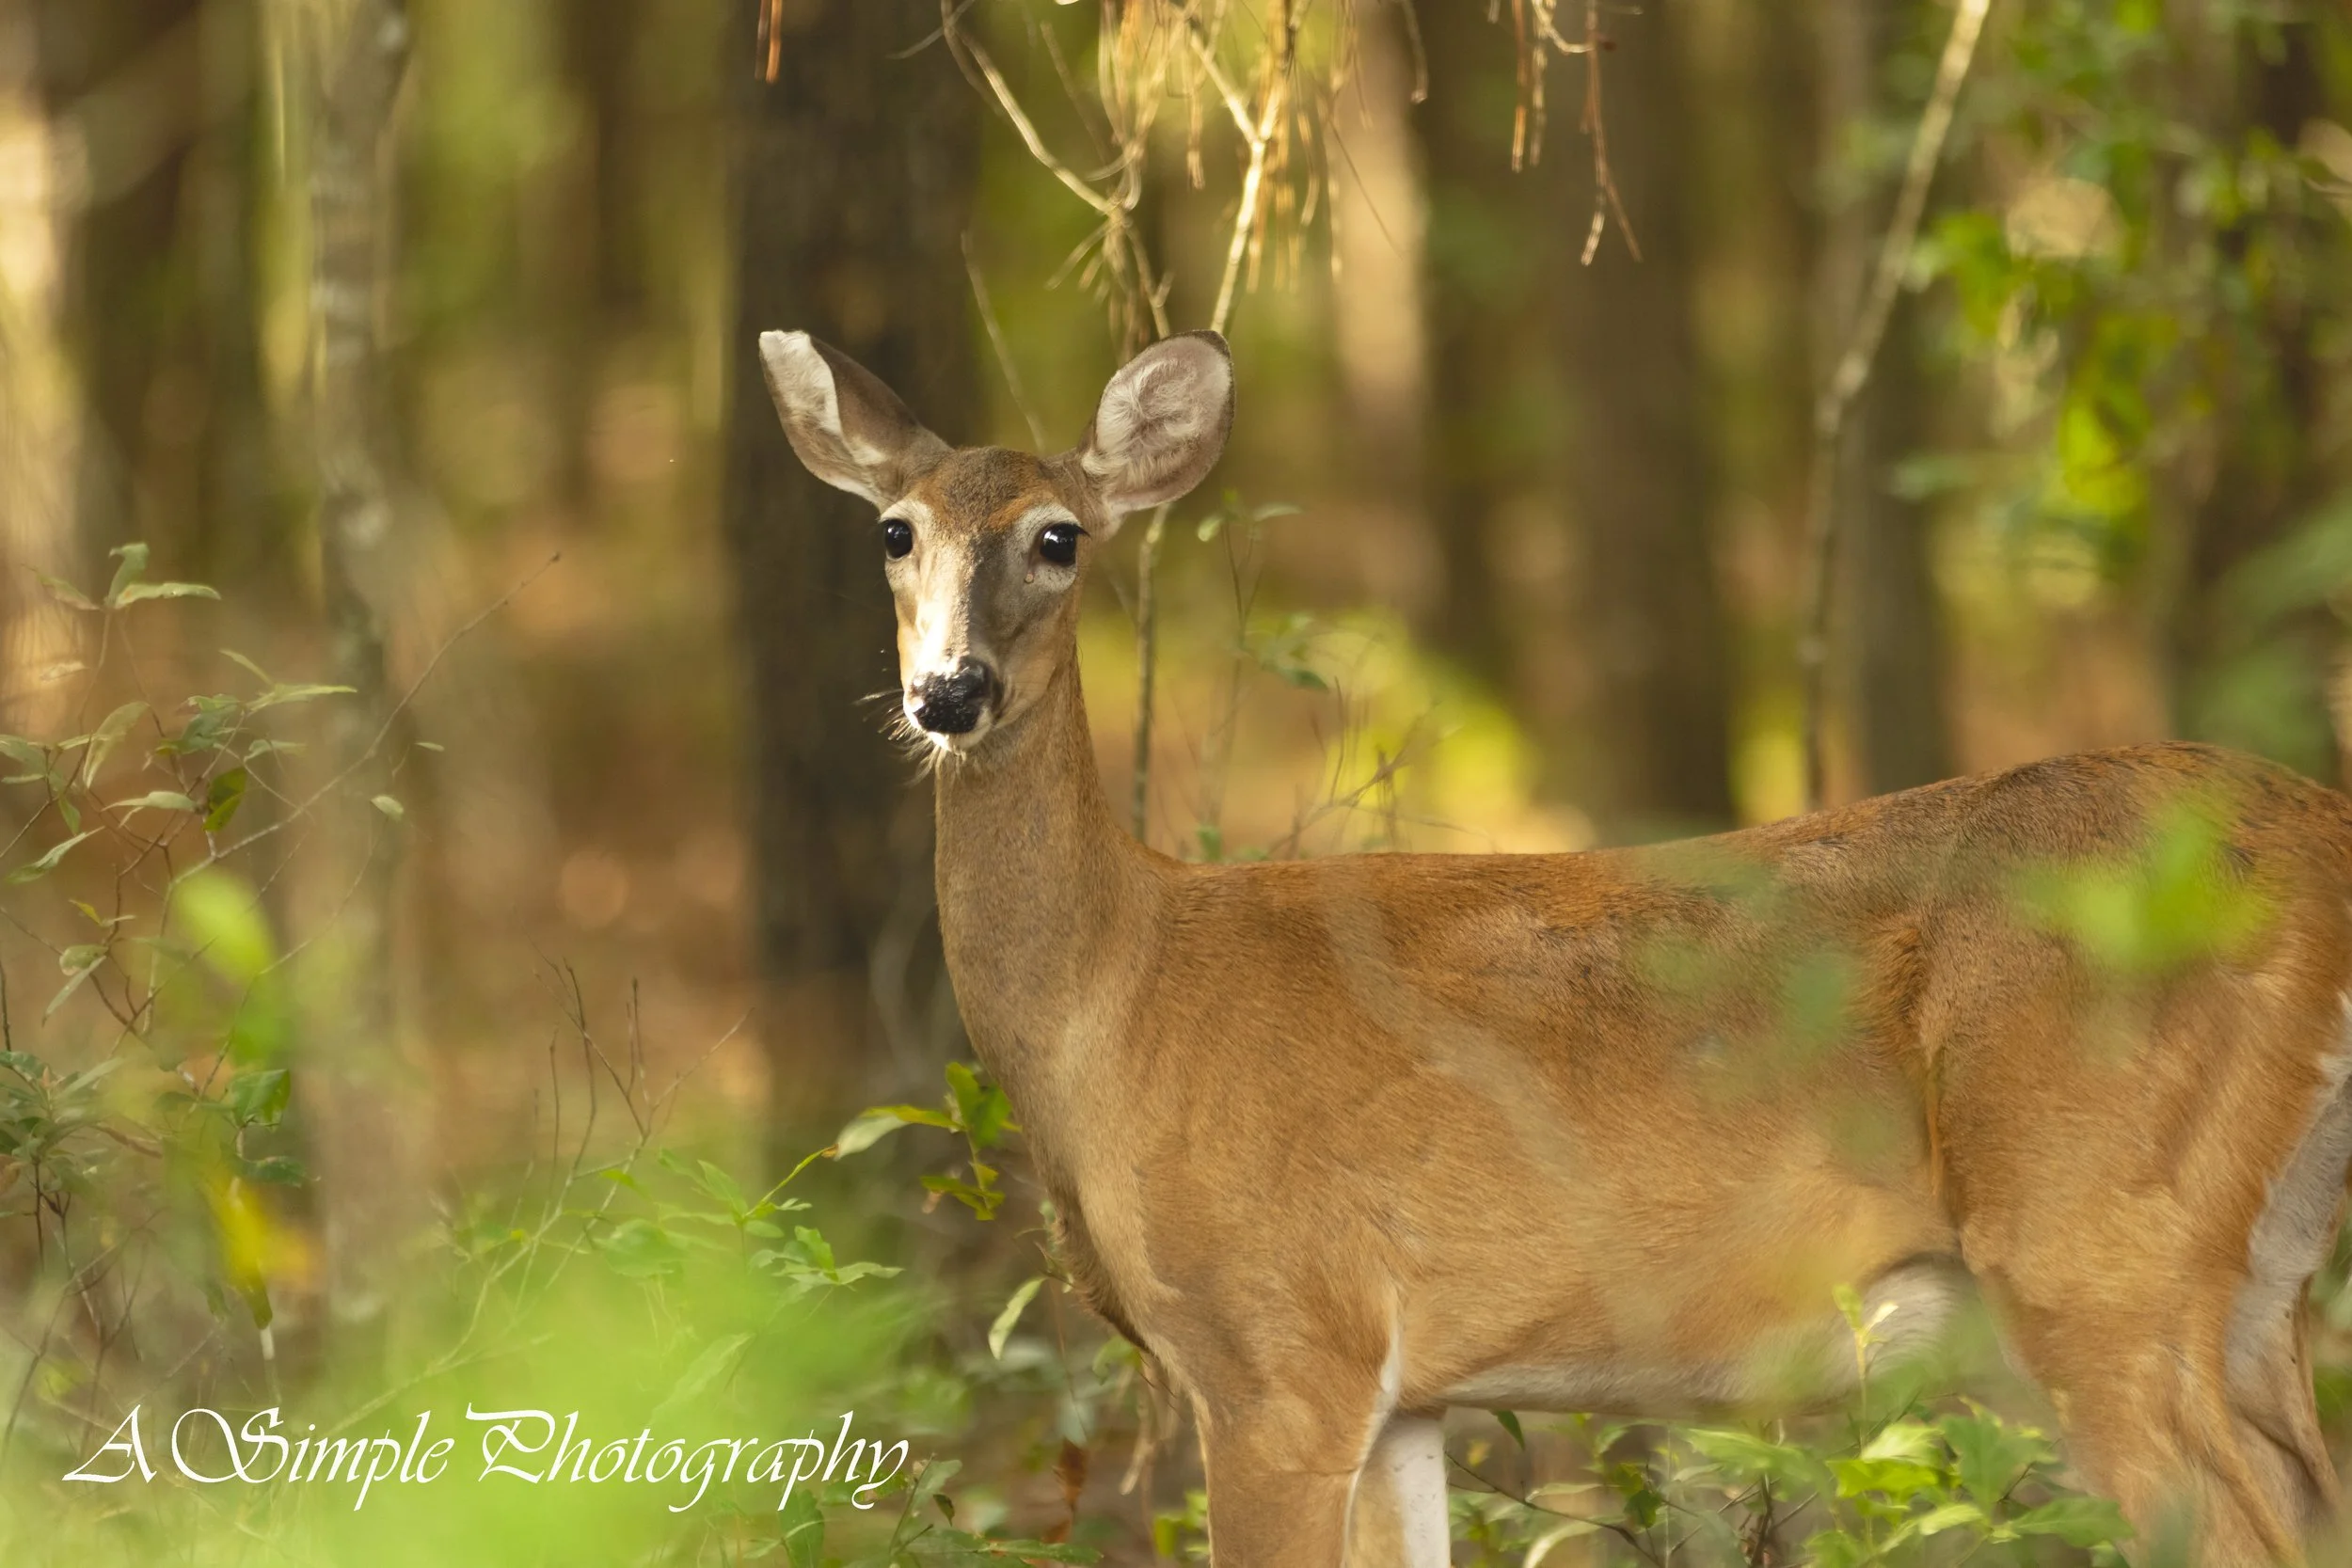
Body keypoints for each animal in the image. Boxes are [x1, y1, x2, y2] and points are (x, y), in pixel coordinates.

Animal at [759, 324, 2352, 1568]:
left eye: (1059, 535)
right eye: (895, 531)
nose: (950, 690)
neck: (1123, 997)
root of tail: (2320, 832)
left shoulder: (1279, 1340)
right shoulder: (1404, 1389)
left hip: (2094, 1235)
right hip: (2256, 1272)